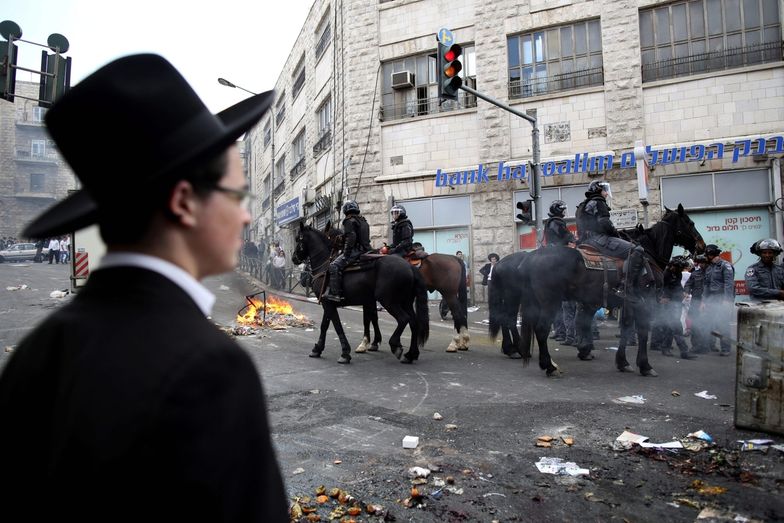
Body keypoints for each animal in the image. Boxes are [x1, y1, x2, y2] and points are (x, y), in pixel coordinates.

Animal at [292, 224, 432, 364]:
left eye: (298, 239)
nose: (294, 258)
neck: (325, 264)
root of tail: (410, 267)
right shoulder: (330, 303)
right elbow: (325, 325)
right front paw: (318, 349)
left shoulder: (329, 303)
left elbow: (337, 326)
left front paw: (345, 353)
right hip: (405, 302)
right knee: (414, 323)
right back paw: (411, 354)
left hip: (389, 301)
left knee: (404, 319)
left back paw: (395, 345)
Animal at [520, 205, 704, 376]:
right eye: (690, 223)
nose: (701, 246)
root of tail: (533, 256)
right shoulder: (646, 300)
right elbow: (642, 331)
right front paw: (645, 365)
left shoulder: (628, 303)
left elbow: (626, 327)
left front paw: (622, 362)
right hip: (551, 302)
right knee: (542, 329)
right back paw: (549, 365)